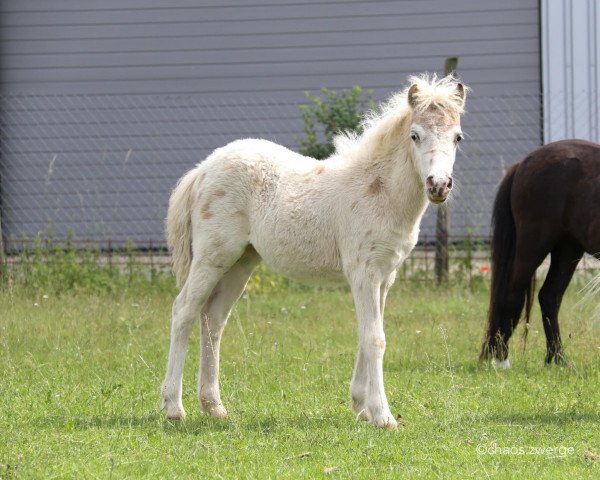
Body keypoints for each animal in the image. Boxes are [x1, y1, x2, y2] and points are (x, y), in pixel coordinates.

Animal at [161, 74, 468, 428]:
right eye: (415, 135)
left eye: (457, 137)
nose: (438, 185)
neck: (378, 190)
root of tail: (202, 170)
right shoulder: (363, 271)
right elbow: (374, 338)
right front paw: (382, 416)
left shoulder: (385, 275)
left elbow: (368, 335)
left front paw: (361, 406)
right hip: (213, 256)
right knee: (184, 310)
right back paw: (174, 406)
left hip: (241, 262)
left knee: (213, 320)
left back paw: (214, 407)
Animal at [482, 141, 600, 366]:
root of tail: (523, 163)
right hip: (534, 244)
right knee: (512, 295)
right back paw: (502, 359)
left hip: (567, 248)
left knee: (550, 296)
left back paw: (558, 360)